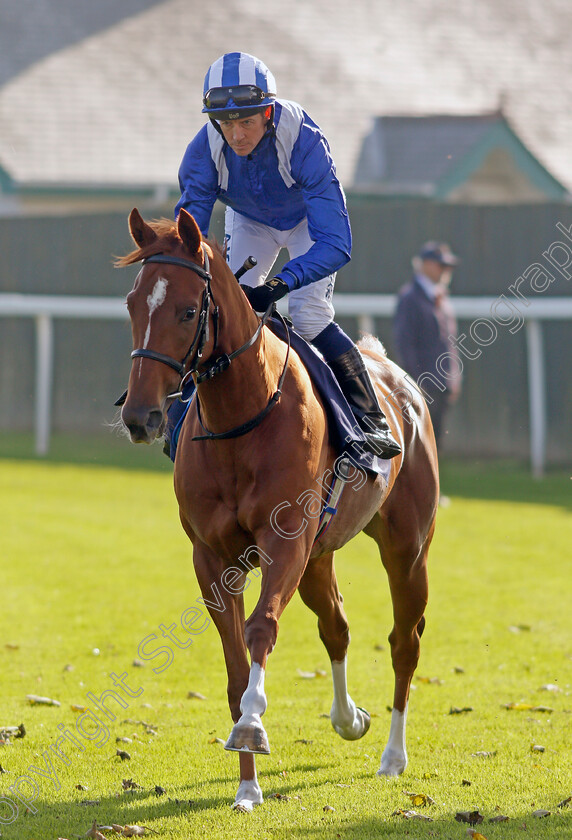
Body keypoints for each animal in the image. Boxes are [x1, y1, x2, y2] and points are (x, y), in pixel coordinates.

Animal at [117, 207, 438, 812]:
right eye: (132, 304)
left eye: (188, 310)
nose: (140, 417)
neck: (241, 418)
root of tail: (392, 371)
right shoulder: (213, 558)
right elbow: (235, 667)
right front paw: (246, 786)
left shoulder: (284, 543)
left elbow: (261, 629)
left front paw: (251, 728)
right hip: (318, 558)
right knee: (336, 627)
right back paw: (349, 719)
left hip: (406, 549)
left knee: (404, 641)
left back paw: (393, 756)